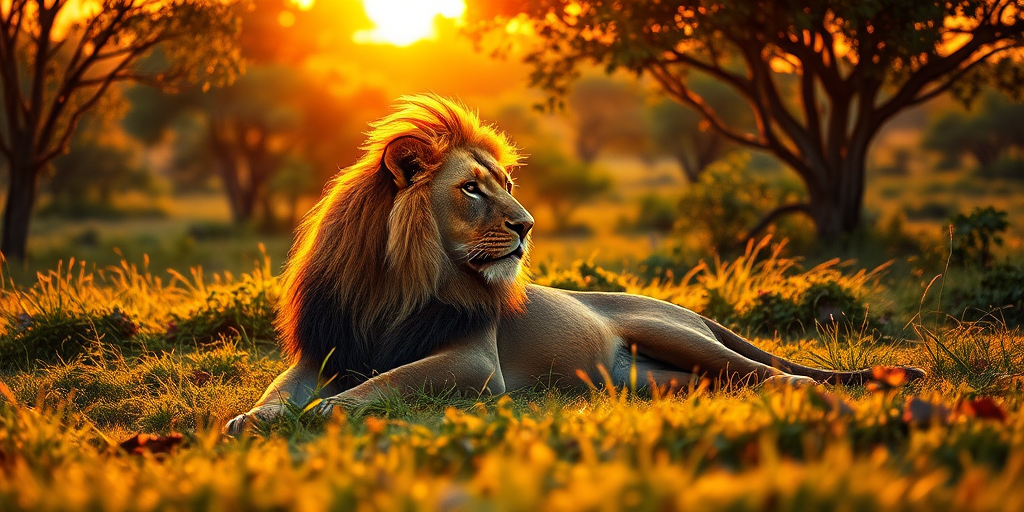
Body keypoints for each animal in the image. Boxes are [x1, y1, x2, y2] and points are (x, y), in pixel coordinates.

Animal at [225, 94, 923, 434]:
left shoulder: (474, 364)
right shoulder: (324, 349)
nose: (527, 226)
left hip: (673, 332)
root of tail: (687, 311)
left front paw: (326, 412)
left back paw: (797, 389)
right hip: (650, 379)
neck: (396, 286)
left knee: (768, 371)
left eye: (506, 184)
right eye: (472, 189)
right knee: (722, 382)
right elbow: (279, 391)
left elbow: (388, 383)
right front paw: (253, 418)